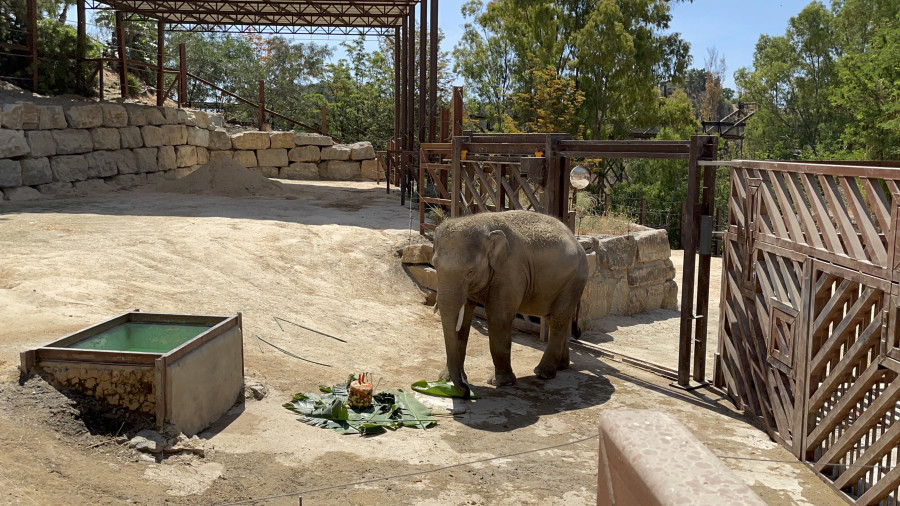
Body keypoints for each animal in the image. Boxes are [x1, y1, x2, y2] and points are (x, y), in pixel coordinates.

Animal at [430, 211, 588, 400]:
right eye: (434, 266)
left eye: (470, 272)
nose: (467, 391)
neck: (483, 225)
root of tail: (578, 243)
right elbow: (464, 321)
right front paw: (445, 379)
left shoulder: (510, 272)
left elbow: (499, 318)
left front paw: (499, 382)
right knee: (556, 319)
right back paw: (562, 366)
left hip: (574, 281)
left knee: (558, 320)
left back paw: (542, 373)